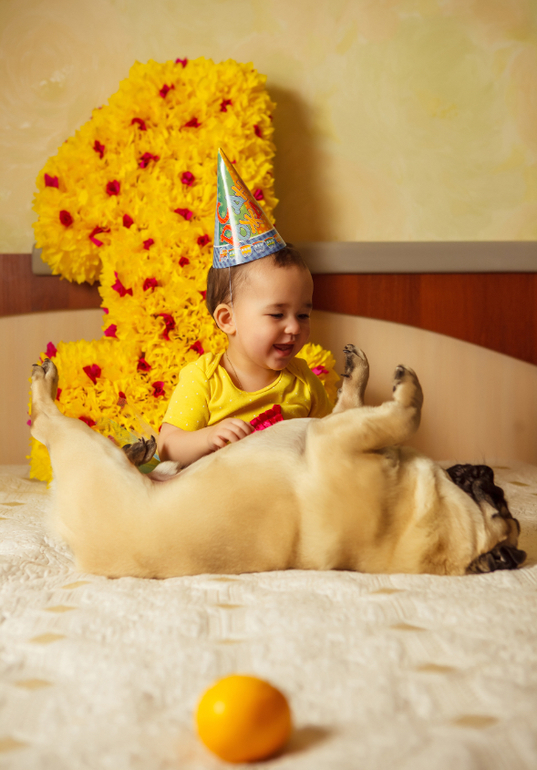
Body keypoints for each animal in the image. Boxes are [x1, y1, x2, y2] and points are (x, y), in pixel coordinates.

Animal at [30, 345, 525, 579]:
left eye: (498, 504)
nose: (489, 474)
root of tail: (71, 540)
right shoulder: (338, 425)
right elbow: (365, 403)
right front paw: (360, 372)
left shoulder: (336, 437)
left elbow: (405, 414)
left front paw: (407, 386)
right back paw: (138, 451)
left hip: (84, 447)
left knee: (46, 423)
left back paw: (47, 381)